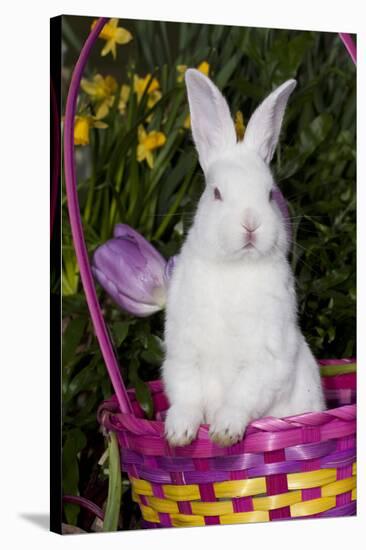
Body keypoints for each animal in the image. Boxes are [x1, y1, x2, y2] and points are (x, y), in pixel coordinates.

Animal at [163, 69, 326, 448]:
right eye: (216, 193)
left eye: (269, 194)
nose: (250, 223)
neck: (235, 267)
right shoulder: (183, 353)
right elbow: (186, 394)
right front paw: (178, 434)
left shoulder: (267, 357)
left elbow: (242, 396)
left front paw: (223, 432)